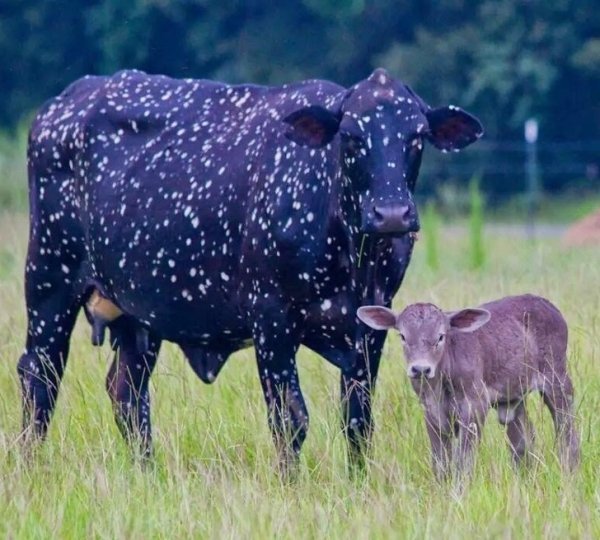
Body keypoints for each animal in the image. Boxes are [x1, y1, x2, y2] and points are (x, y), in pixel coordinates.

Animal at [18, 67, 486, 470]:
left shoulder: (371, 328)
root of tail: (67, 99)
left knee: (127, 394)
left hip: (138, 316)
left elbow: (357, 419)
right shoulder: (271, 320)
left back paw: (147, 473)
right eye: (351, 136)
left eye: (417, 136)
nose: (390, 214)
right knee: (39, 374)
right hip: (49, 280)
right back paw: (31, 466)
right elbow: (291, 418)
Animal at [358, 296, 580, 476]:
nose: (421, 369)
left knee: (567, 429)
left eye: (441, 336)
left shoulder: (475, 405)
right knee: (524, 440)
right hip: (513, 398)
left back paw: (569, 472)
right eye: (403, 336)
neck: (439, 387)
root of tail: (548, 305)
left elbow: (463, 462)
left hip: (557, 379)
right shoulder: (431, 412)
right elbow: (440, 464)